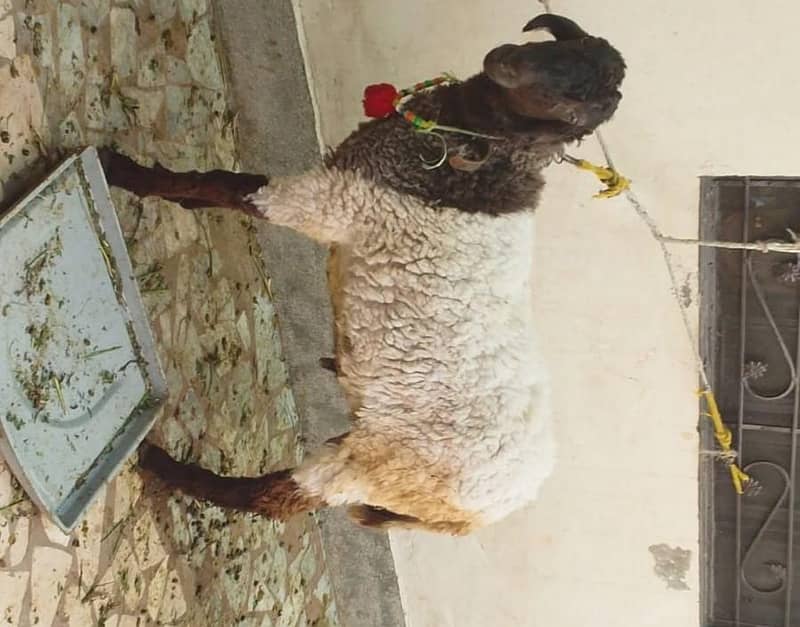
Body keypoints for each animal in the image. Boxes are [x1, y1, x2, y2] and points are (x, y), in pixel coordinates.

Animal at [100, 13, 626, 535]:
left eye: (570, 109)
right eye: (558, 50)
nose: (504, 60)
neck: (477, 154)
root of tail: (489, 513)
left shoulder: (331, 200)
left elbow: (217, 184)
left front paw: (120, 170)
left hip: (377, 468)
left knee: (273, 499)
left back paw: (164, 466)